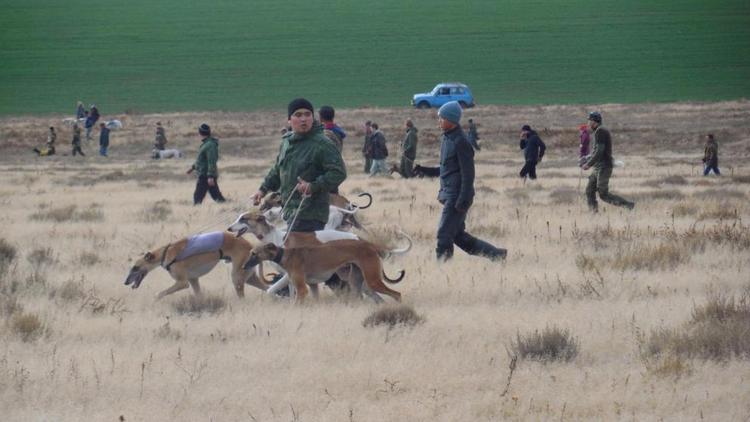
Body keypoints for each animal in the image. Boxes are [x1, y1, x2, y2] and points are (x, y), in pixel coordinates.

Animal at [126, 231, 270, 300]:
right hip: (249, 276)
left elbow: (161, 293)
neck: (165, 253)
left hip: (237, 277)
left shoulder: (183, 283)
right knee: (268, 288)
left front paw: (155, 298)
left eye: (135, 267)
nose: (125, 282)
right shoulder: (193, 279)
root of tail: (251, 246)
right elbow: (199, 295)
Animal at [247, 241, 406, 304]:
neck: (286, 255)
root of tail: (371, 245)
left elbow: (296, 302)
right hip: (356, 281)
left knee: (397, 294)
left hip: (372, 280)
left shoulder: (302, 289)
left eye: (254, 253)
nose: (244, 266)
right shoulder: (312, 286)